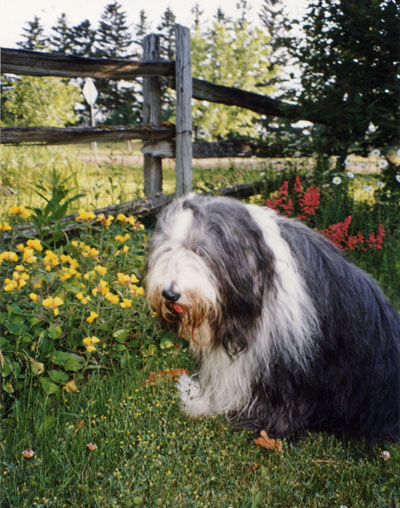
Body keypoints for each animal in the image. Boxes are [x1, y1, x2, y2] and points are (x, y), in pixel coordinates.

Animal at [146, 193, 400, 440]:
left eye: (199, 250)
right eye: (167, 249)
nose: (170, 294)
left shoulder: (288, 352)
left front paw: (267, 428)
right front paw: (203, 404)